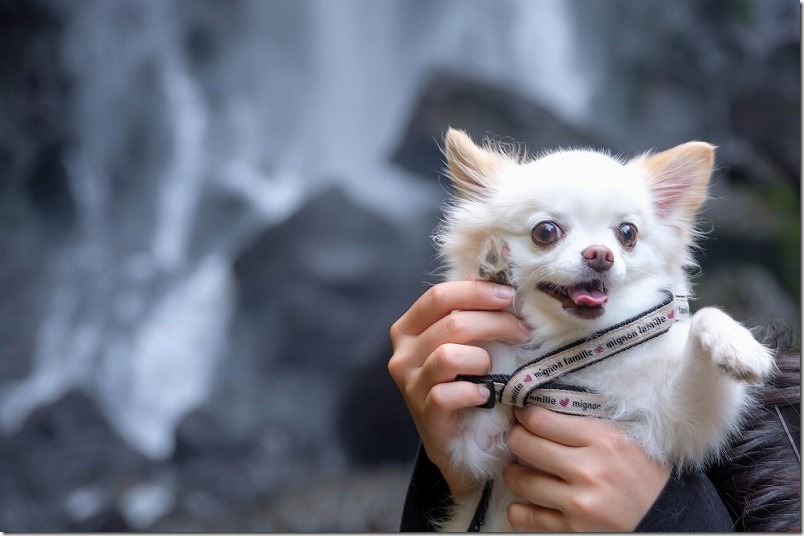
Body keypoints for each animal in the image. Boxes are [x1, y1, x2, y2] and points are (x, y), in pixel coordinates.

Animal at [436, 129, 776, 532]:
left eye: (627, 233)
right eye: (545, 231)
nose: (600, 254)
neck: (577, 351)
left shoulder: (680, 422)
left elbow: (707, 318)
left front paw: (739, 345)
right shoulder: (480, 446)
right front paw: (494, 271)